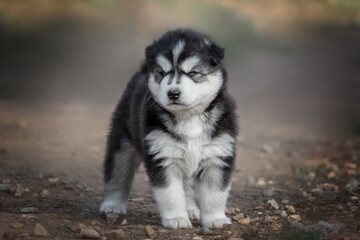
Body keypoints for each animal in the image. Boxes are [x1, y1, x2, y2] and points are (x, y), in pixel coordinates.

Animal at [100, 29, 238, 229]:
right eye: (162, 73)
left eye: (193, 72)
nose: (173, 93)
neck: (188, 117)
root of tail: (142, 71)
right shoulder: (163, 156)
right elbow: (171, 194)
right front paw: (176, 219)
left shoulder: (217, 154)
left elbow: (215, 194)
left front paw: (215, 219)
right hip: (123, 141)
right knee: (117, 174)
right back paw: (112, 205)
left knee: (186, 187)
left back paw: (190, 209)